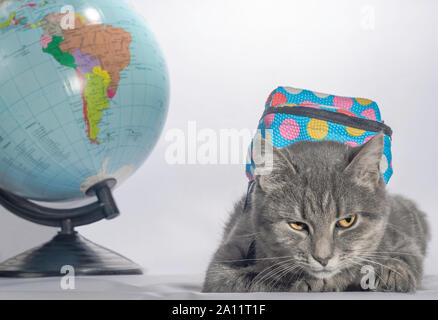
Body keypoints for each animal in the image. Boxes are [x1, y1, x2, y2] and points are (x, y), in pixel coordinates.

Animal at [204, 133, 430, 292]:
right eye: (297, 225)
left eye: (347, 221)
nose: (323, 258)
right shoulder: (223, 265)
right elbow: (254, 279)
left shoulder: (400, 240)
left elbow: (406, 260)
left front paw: (389, 273)